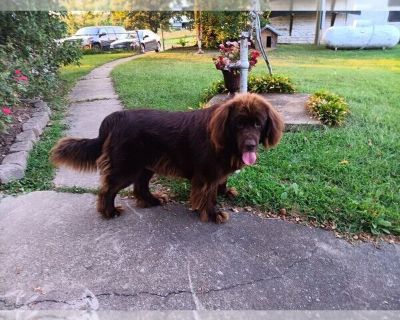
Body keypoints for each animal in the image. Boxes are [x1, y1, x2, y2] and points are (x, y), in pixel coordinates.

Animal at [51, 92, 284, 222]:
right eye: (239, 124)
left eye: (258, 124)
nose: (250, 145)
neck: (225, 140)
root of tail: (114, 118)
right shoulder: (206, 174)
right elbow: (208, 195)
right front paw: (212, 213)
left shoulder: (217, 170)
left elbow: (221, 183)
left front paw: (225, 193)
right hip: (127, 166)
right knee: (108, 189)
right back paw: (109, 212)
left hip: (146, 164)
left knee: (140, 186)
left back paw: (152, 200)